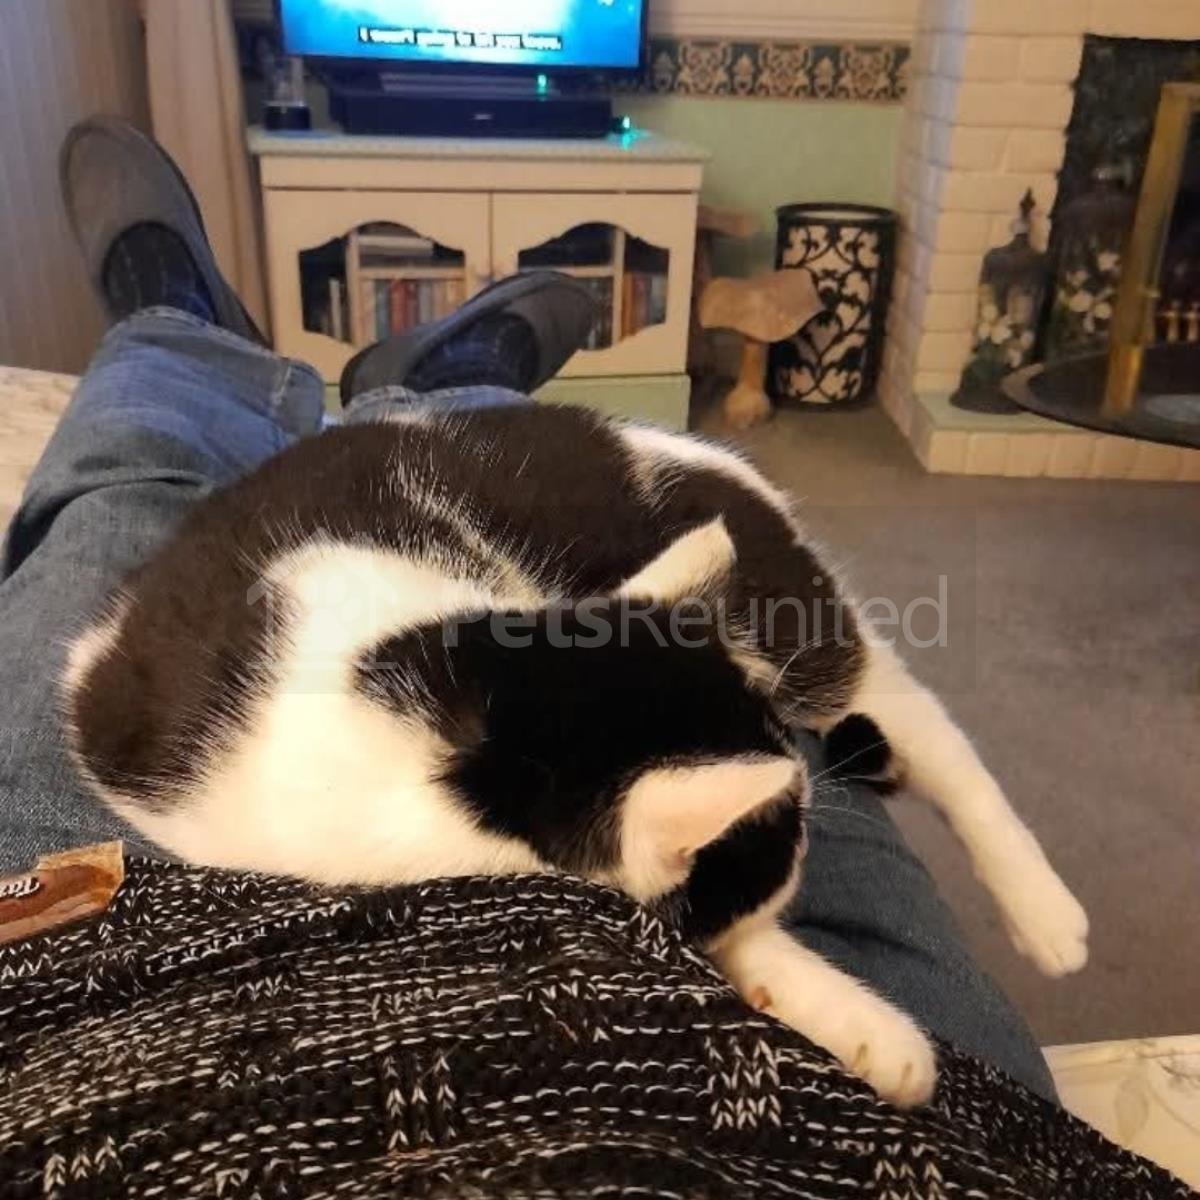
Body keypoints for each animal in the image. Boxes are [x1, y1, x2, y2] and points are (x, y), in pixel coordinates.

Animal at [63, 403, 1088, 1107]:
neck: (456, 732)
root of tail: (695, 454)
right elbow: (713, 935)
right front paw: (860, 1025)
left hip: (803, 624)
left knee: (928, 727)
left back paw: (1046, 913)